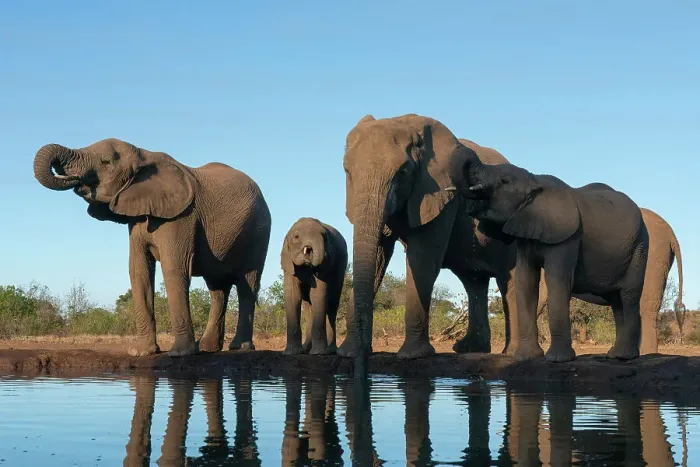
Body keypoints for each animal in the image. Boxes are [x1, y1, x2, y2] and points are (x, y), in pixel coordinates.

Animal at [33, 138, 271, 357]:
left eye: (106, 162)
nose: (71, 178)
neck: (143, 155)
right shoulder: (137, 219)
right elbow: (138, 271)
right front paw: (141, 352)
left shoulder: (182, 217)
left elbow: (174, 268)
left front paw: (179, 353)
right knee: (217, 288)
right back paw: (207, 348)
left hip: (259, 231)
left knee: (247, 283)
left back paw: (240, 348)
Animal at [281, 217, 348, 355]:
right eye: (296, 237)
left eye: (325, 238)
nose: (308, 252)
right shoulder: (289, 262)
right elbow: (293, 295)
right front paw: (291, 352)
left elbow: (317, 294)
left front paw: (318, 353)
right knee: (308, 307)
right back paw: (306, 348)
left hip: (341, 266)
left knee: (332, 304)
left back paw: (329, 351)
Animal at [340, 113, 522, 364]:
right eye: (347, 171)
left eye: (404, 171)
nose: (363, 354)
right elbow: (377, 257)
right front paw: (348, 352)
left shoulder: (443, 194)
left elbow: (422, 259)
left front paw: (413, 355)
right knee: (473, 281)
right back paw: (469, 349)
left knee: (508, 280)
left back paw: (513, 352)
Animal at [447, 153, 649, 362]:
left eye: (504, 181)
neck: (534, 180)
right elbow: (525, 281)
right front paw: (526, 357)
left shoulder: (567, 237)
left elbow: (556, 280)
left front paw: (558, 359)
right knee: (617, 301)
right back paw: (615, 356)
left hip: (640, 247)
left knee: (628, 296)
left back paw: (624, 356)